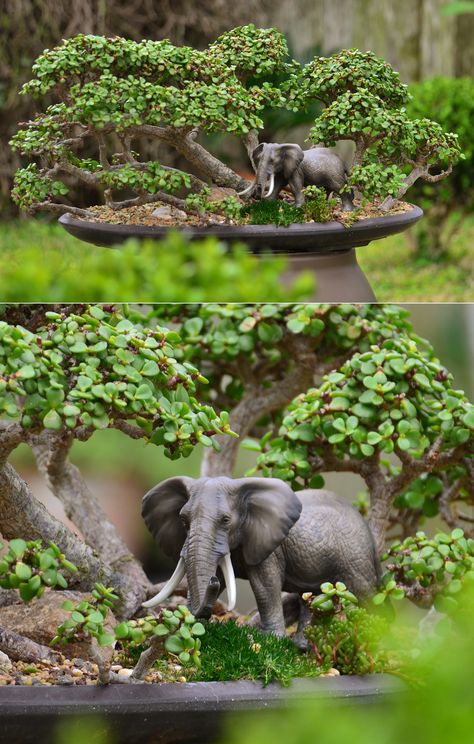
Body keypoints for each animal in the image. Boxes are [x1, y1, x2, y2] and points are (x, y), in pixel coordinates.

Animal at [142, 476, 382, 640]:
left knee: (365, 594)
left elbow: (264, 585)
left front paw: (271, 639)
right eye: (183, 520)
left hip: (354, 558)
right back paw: (302, 646)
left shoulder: (270, 548)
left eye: (226, 520)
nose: (212, 581)